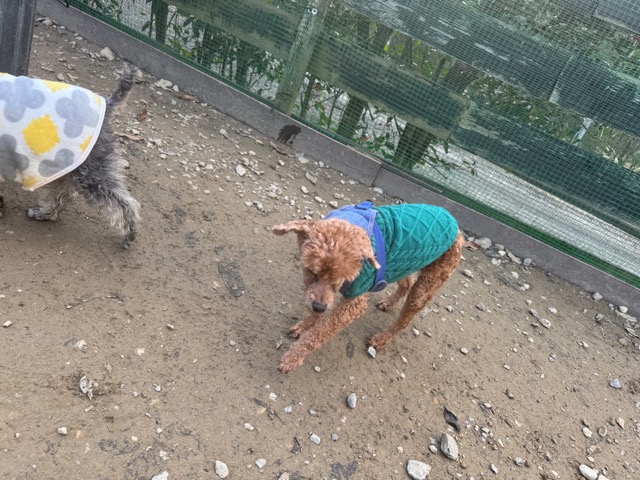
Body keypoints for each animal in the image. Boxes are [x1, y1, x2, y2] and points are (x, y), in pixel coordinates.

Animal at [0, 65, 140, 248]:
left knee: (124, 202)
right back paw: (44, 213)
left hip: (90, 171)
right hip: (65, 165)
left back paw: (128, 236)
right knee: (64, 192)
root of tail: (108, 104)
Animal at [273, 201, 463, 374]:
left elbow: (318, 334)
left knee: (405, 319)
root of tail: (457, 228)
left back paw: (381, 339)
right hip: (400, 266)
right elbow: (315, 312)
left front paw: (292, 358)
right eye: (311, 270)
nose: (319, 307)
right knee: (406, 283)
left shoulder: (354, 303)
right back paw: (388, 303)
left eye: (342, 279)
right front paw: (304, 326)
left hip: (427, 284)